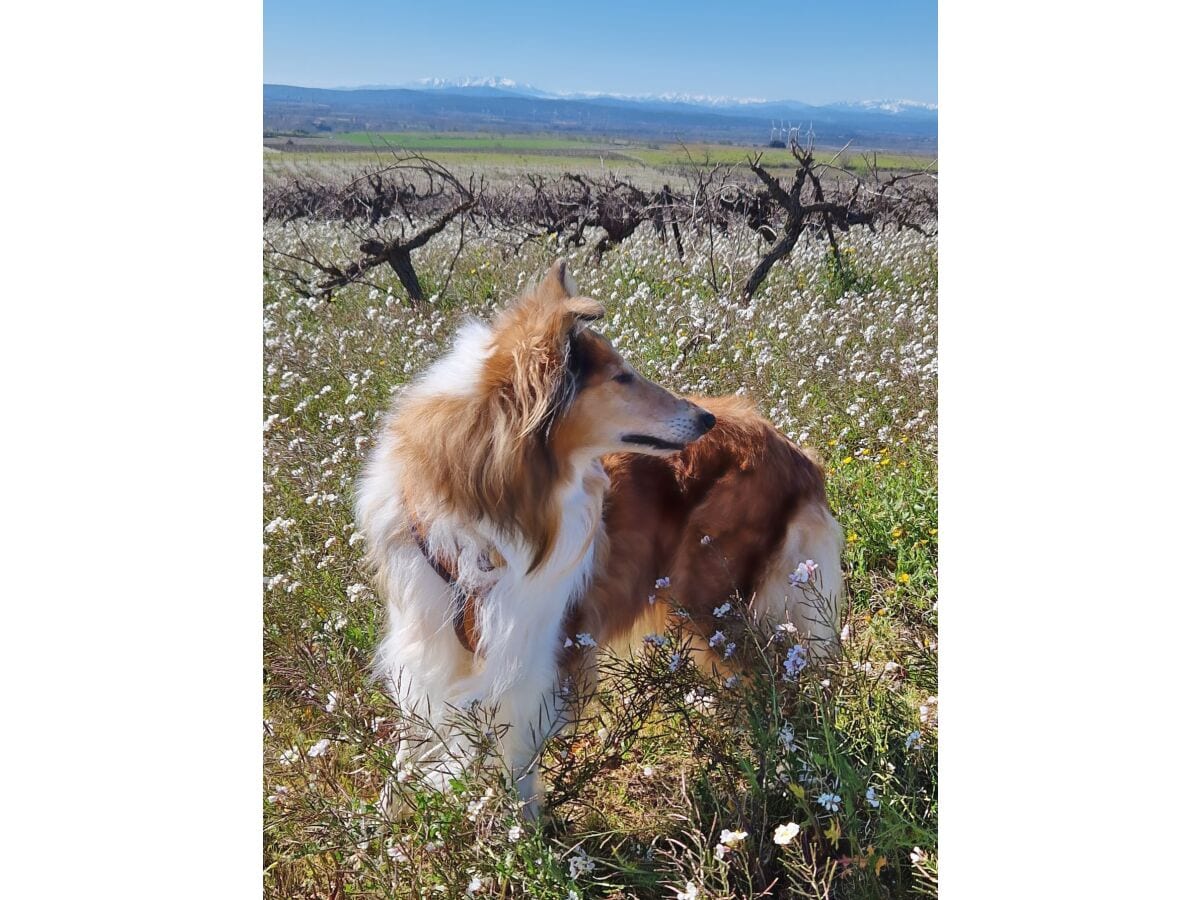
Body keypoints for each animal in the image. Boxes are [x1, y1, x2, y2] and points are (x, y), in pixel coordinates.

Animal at [355, 259, 844, 816]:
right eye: (621, 376)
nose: (705, 418)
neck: (486, 509)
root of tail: (797, 453)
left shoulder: (531, 660)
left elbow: (516, 769)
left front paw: (524, 836)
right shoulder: (429, 640)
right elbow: (409, 750)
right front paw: (394, 822)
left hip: (710, 604)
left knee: (778, 687)